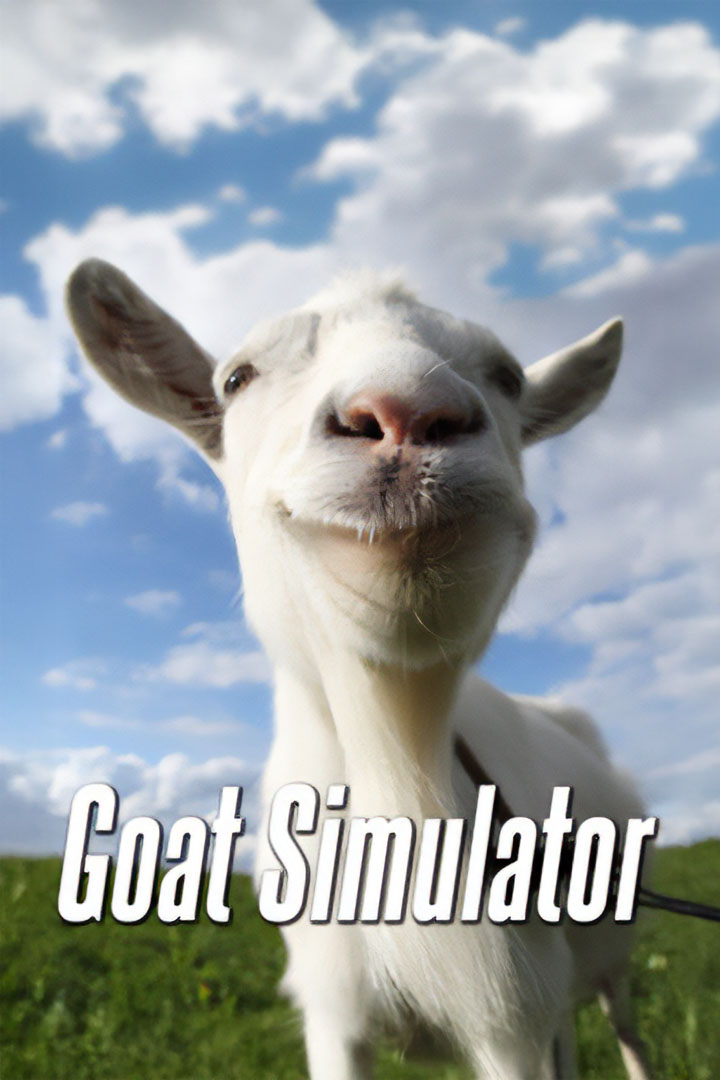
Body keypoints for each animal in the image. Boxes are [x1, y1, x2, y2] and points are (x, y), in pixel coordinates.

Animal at [66, 260, 653, 1080]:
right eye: (236, 378)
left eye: (506, 376)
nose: (409, 411)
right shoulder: (334, 1008)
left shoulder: (511, 1014)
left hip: (608, 968)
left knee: (626, 1027)